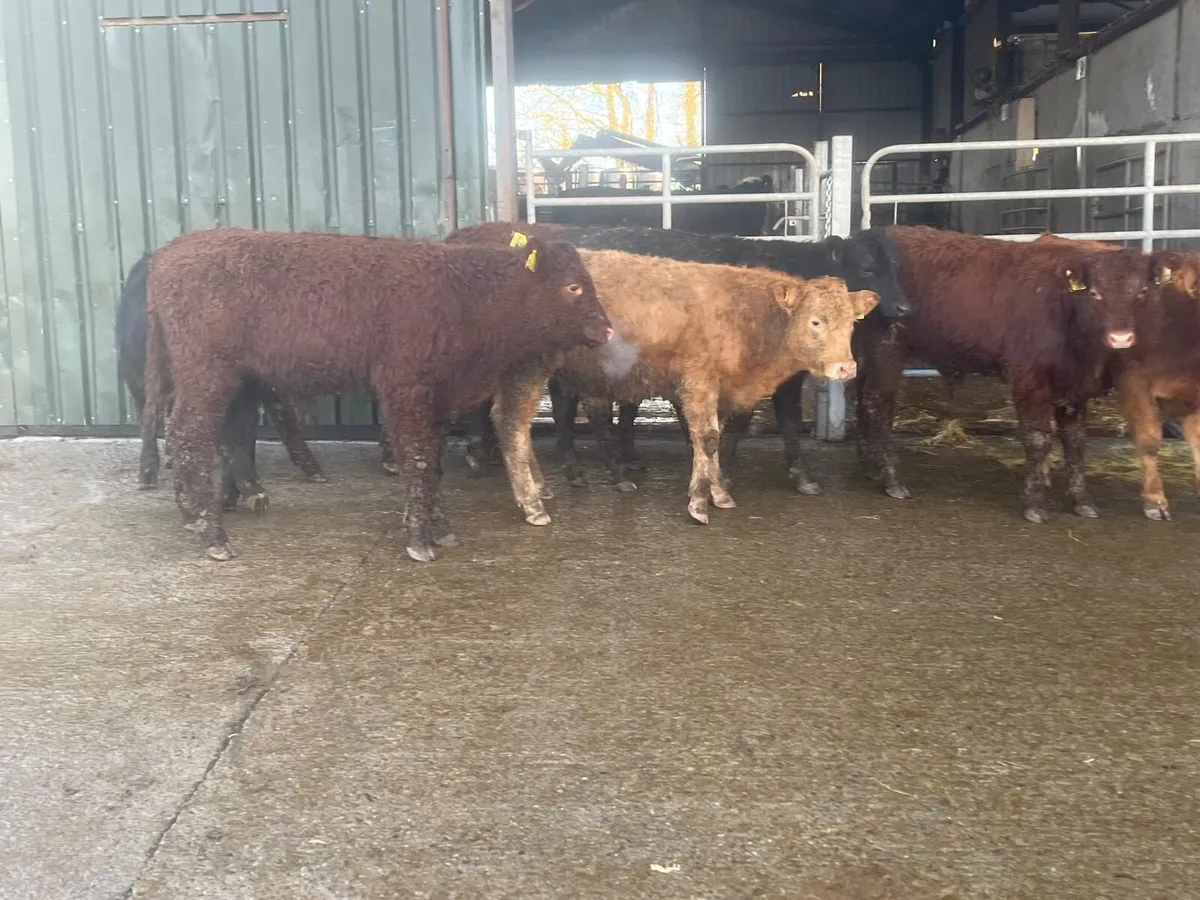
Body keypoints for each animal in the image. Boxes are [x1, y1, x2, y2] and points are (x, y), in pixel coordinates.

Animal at [141, 228, 611, 562]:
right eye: (573, 287)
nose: (607, 330)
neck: (465, 295)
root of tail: (168, 253)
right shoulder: (406, 387)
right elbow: (417, 460)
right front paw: (420, 539)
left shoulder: (437, 397)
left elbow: (433, 462)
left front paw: (441, 528)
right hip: (206, 373)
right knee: (187, 436)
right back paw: (212, 533)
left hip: (230, 378)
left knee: (218, 434)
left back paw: (199, 513)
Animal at [856, 226, 1181, 523]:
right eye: (1095, 294)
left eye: (1141, 293)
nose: (1120, 337)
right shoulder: (1029, 378)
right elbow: (1037, 439)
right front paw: (1035, 503)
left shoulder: (1072, 389)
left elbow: (1075, 443)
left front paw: (1082, 501)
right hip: (887, 350)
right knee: (878, 405)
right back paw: (892, 479)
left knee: (863, 399)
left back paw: (870, 467)